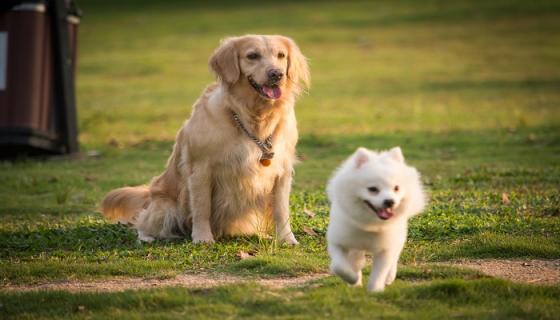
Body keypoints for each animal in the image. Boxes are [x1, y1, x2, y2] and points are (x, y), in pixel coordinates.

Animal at [326, 148, 426, 292]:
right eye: (372, 189)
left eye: (396, 188)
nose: (390, 201)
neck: (370, 225)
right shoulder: (338, 242)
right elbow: (339, 266)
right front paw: (353, 278)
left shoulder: (385, 248)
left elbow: (379, 272)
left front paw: (375, 291)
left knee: (394, 258)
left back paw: (389, 277)